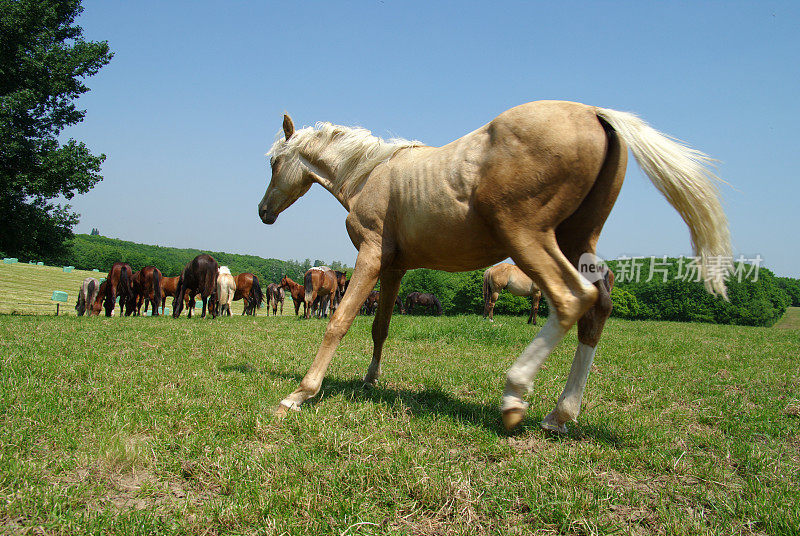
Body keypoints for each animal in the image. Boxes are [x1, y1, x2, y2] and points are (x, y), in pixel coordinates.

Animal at [258, 100, 732, 434]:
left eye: (274, 162)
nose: (264, 211)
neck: (371, 174)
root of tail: (597, 113)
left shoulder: (371, 254)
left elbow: (338, 320)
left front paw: (299, 394)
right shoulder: (395, 268)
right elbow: (381, 327)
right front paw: (371, 379)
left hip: (527, 237)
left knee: (571, 299)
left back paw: (515, 397)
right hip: (578, 240)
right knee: (597, 308)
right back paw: (560, 415)